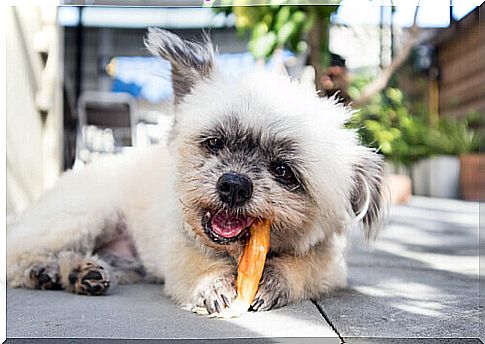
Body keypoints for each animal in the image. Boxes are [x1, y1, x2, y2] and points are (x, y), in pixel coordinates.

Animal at [4, 29, 386, 314]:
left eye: (283, 171)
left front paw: (277, 278)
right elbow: (197, 263)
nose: (233, 185)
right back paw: (41, 270)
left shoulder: (330, 264)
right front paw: (212, 284)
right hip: (82, 217)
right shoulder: (179, 247)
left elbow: (306, 266)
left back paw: (79, 273)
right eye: (215, 142)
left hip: (125, 261)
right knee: (15, 249)